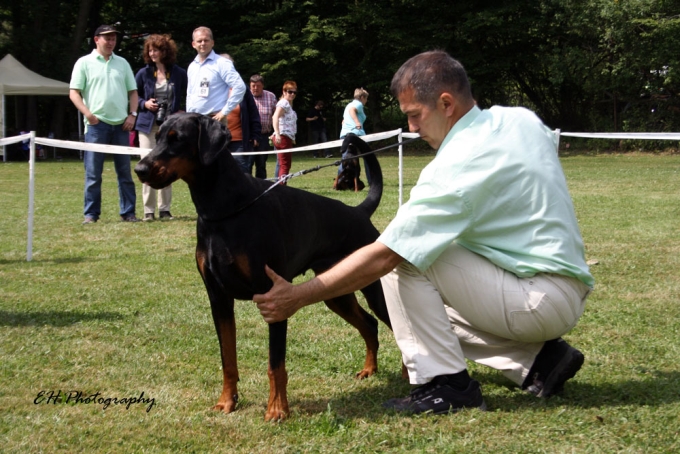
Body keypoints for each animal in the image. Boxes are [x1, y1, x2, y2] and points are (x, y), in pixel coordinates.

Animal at [134, 113, 392, 421]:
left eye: (178, 139)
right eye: (158, 136)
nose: (140, 169)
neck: (223, 210)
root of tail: (358, 211)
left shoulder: (274, 296)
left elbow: (275, 363)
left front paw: (278, 408)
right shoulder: (218, 298)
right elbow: (227, 358)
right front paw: (227, 401)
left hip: (374, 288)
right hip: (336, 292)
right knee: (369, 323)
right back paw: (369, 369)